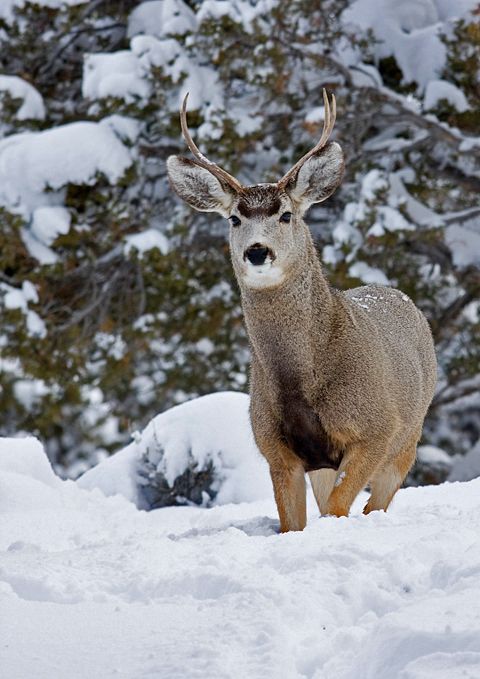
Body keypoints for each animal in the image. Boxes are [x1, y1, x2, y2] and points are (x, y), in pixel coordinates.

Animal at [167, 90, 437, 532]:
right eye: (235, 218)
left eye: (286, 214)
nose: (257, 251)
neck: (301, 382)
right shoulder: (278, 449)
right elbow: (294, 523)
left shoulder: (378, 427)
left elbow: (340, 508)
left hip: (409, 436)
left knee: (377, 504)